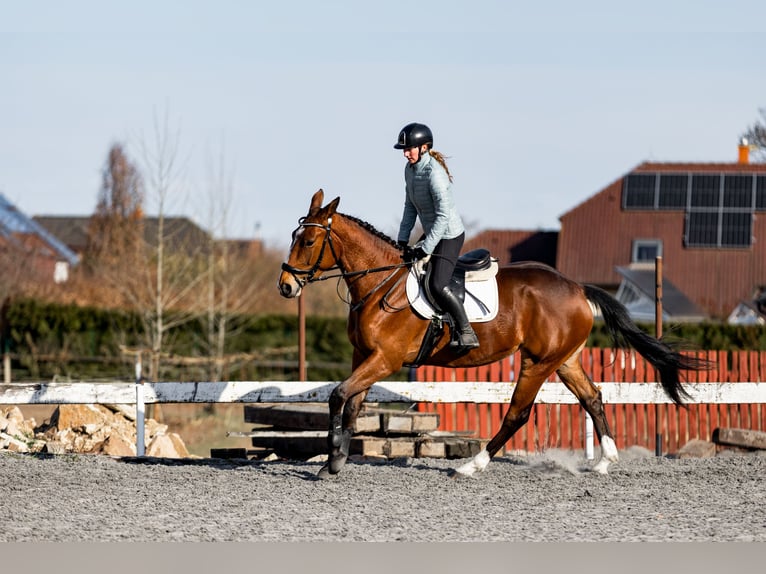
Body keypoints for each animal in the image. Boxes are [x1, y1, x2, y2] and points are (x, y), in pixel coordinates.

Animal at [278, 189, 708, 479]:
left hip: (537, 363)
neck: (382, 284)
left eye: (309, 241)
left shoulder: (386, 359)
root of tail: (576, 287)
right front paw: (335, 462)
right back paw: (605, 460)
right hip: (564, 360)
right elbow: (351, 403)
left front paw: (332, 454)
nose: (285, 286)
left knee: (518, 413)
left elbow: (338, 395)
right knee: (593, 397)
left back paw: (472, 465)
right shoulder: (363, 356)